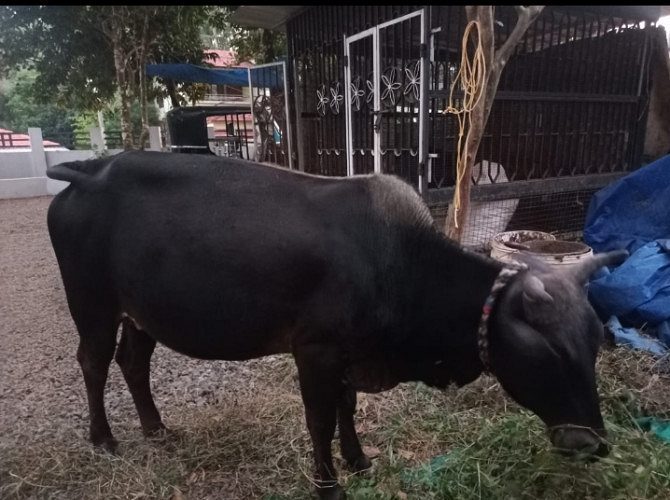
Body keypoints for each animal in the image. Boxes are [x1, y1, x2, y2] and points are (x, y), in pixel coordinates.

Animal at [46, 151, 626, 499]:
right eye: (549, 354)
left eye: (594, 345)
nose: (593, 445)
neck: (398, 264)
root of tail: (93, 169)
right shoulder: (316, 351)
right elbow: (321, 420)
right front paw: (328, 484)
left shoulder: (350, 355)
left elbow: (347, 408)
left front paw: (358, 459)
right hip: (92, 304)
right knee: (94, 362)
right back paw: (104, 438)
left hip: (142, 314)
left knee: (133, 362)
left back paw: (155, 428)